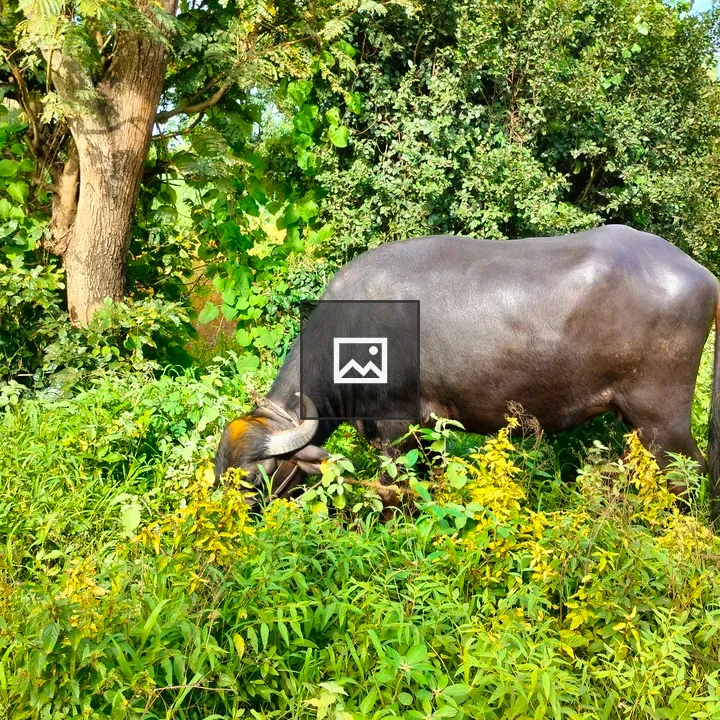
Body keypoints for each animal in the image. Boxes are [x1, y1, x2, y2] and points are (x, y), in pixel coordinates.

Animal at [215, 224, 720, 521]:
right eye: (219, 471)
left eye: (253, 478)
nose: (227, 521)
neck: (353, 330)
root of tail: (705, 277)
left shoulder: (398, 430)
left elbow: (395, 490)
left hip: (661, 418)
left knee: (689, 472)